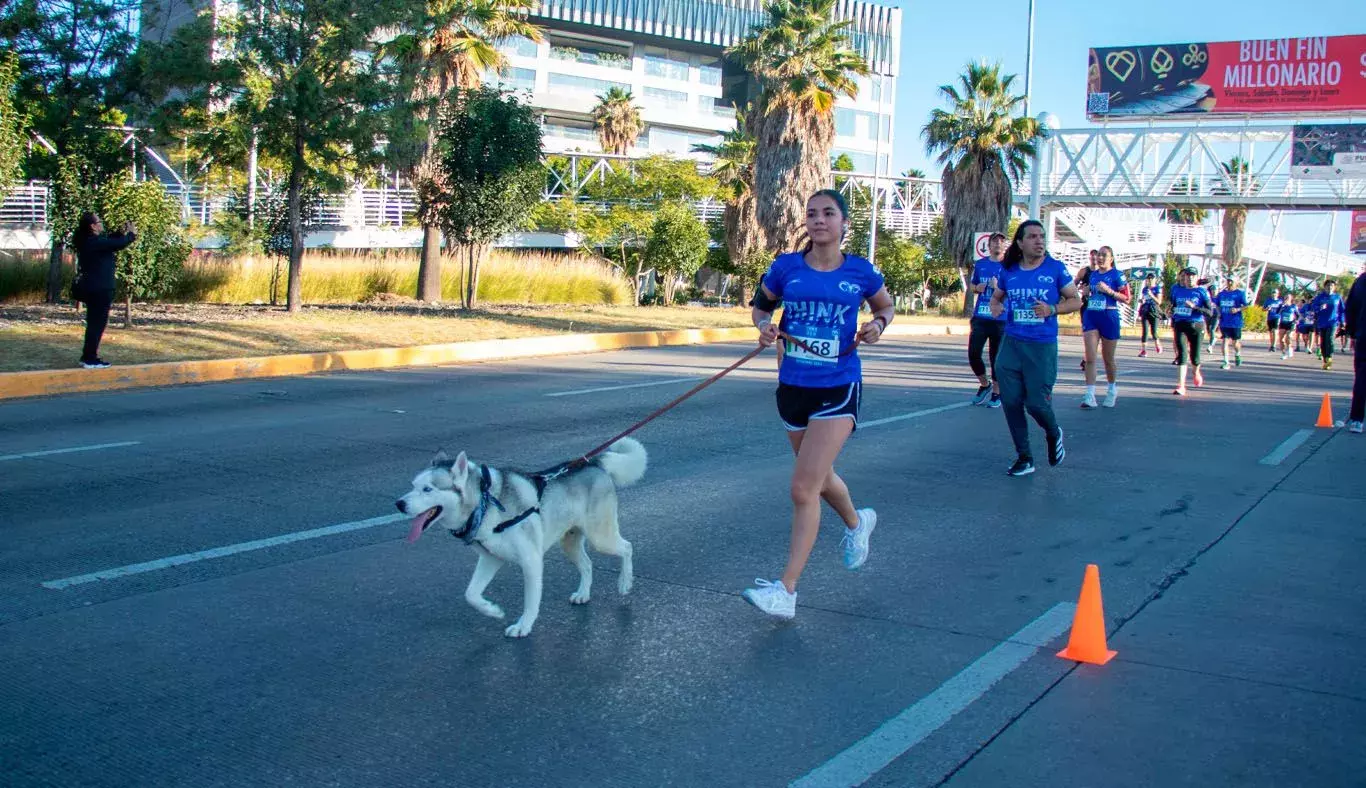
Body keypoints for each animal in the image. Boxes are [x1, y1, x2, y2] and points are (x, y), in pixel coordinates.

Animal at [398, 439, 647, 636]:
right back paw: (583, 593)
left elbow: (531, 601)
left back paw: (625, 582)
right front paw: (492, 610)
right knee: (587, 564)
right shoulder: (490, 558)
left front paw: (523, 626)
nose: (399, 504)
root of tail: (592, 462)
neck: (485, 503)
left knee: (627, 547)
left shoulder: (531, 561)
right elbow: (471, 594)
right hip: (569, 542)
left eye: (428, 489)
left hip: (600, 537)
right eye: (412, 486)